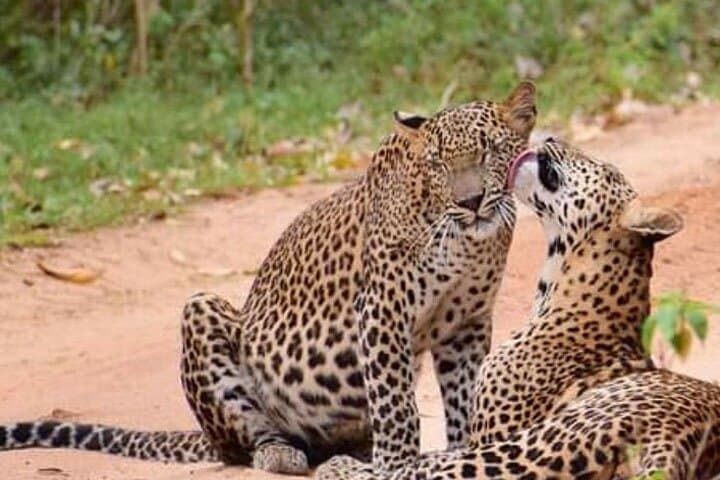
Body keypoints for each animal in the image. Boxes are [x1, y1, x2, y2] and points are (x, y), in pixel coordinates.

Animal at [0, 82, 537, 475]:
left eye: (490, 152)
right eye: (439, 163)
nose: (469, 202)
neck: (466, 242)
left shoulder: (465, 324)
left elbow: (465, 396)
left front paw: (461, 451)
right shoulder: (382, 310)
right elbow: (396, 404)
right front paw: (399, 465)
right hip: (202, 314)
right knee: (247, 444)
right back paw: (283, 454)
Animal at [315, 139, 720, 479]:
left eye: (605, 169)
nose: (551, 138)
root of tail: (674, 438)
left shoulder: (491, 432)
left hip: (535, 443)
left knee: (413, 471)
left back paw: (339, 464)